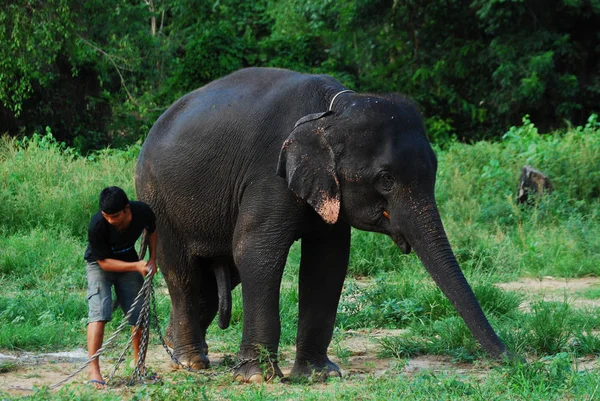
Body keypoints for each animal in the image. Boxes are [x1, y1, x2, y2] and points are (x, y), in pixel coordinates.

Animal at [136, 66, 510, 382]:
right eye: (385, 179)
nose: (514, 360)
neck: (333, 111)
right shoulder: (269, 173)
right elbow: (257, 253)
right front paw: (258, 377)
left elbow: (327, 262)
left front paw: (319, 375)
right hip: (156, 198)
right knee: (183, 272)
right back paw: (191, 362)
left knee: (212, 282)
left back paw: (177, 350)